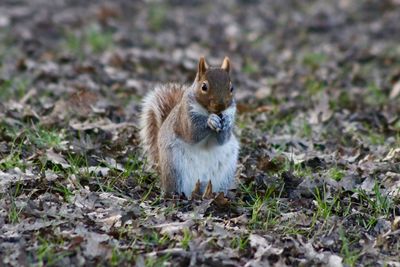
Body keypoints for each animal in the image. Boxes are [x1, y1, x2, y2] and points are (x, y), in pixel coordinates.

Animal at [139, 56, 239, 198]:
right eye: (204, 86)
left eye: (231, 88)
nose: (220, 106)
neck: (208, 111)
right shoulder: (185, 117)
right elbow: (192, 133)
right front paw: (210, 121)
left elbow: (222, 140)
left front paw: (226, 122)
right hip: (174, 168)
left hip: (223, 175)